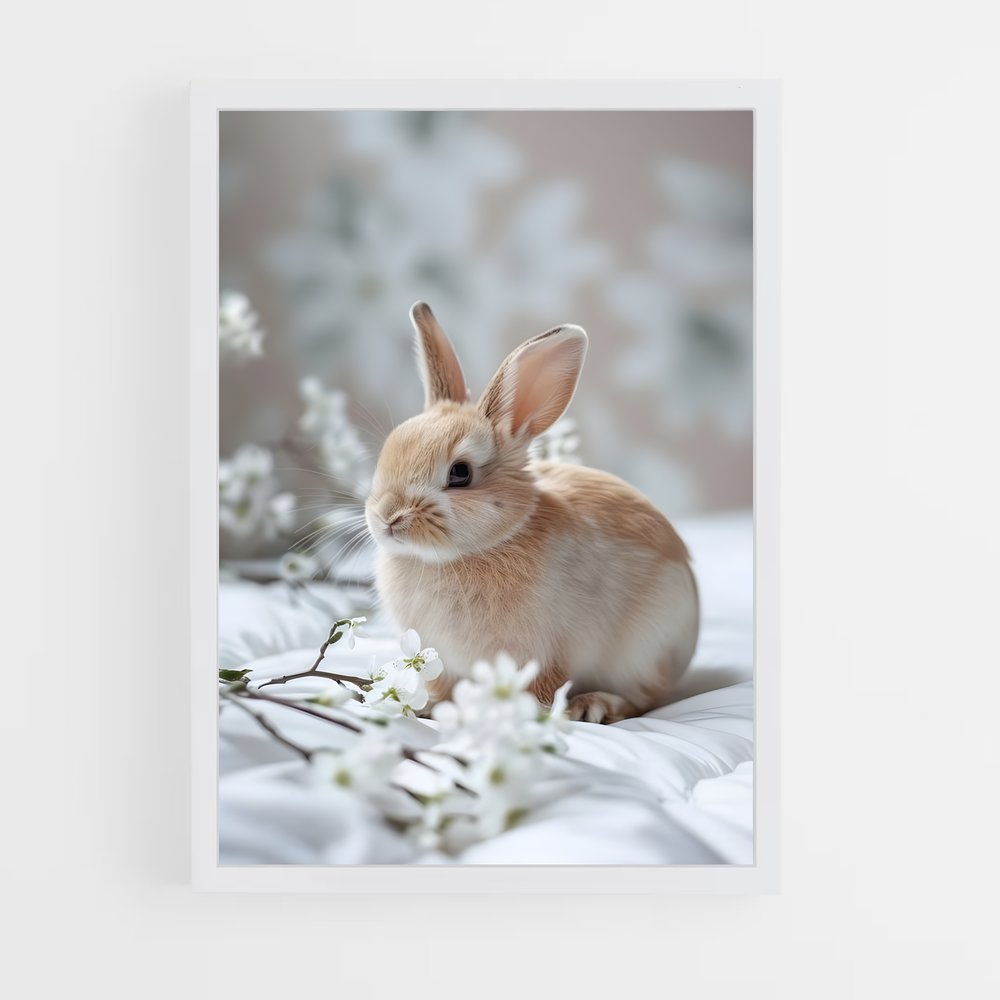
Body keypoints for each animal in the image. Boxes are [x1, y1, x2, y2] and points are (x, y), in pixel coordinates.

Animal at [364, 302, 699, 724]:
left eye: (460, 473)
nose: (388, 517)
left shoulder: (540, 653)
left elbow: (542, 688)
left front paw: (530, 714)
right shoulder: (442, 659)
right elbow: (442, 687)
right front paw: (431, 708)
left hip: (643, 650)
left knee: (644, 697)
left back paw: (594, 706)